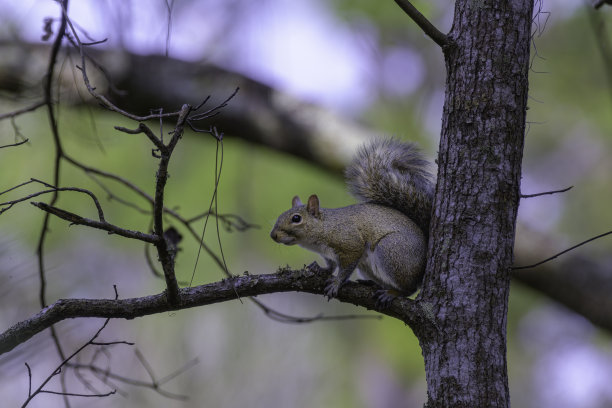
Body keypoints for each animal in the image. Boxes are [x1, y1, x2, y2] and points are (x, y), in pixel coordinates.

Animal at [270, 139, 432, 304]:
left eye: (296, 218)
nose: (273, 235)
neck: (324, 228)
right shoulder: (328, 254)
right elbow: (331, 266)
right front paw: (321, 269)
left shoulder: (350, 244)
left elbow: (346, 267)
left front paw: (336, 283)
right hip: (367, 266)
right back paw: (373, 284)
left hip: (391, 251)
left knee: (409, 288)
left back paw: (393, 293)